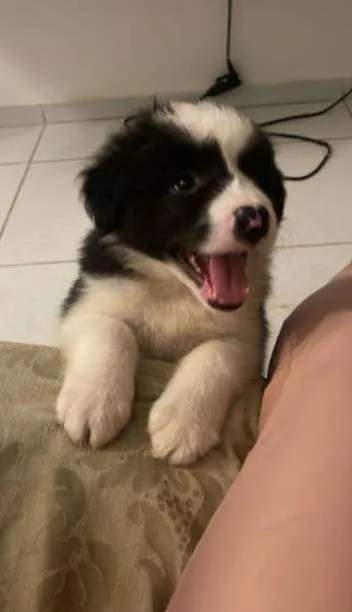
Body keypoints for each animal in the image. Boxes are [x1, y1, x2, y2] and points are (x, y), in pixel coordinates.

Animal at [55, 101, 286, 464]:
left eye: (258, 178)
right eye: (184, 183)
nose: (255, 219)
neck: (176, 290)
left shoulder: (248, 336)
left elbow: (216, 353)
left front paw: (183, 424)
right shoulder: (88, 301)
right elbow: (113, 330)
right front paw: (93, 405)